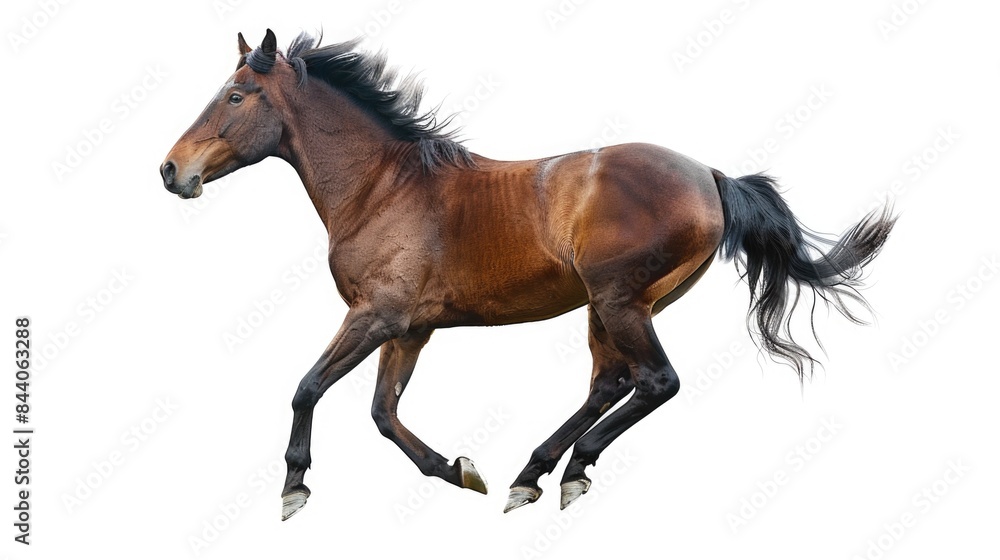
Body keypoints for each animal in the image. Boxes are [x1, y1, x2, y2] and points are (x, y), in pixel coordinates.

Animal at [160, 29, 895, 521]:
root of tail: (709, 176)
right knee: (611, 384)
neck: (382, 188)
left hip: (619, 302)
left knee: (654, 382)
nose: (171, 170)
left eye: (236, 95)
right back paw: (537, 473)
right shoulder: (412, 329)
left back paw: (558, 472)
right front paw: (459, 471)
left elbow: (308, 387)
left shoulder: (376, 316)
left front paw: (293, 490)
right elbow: (383, 412)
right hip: (612, 307)